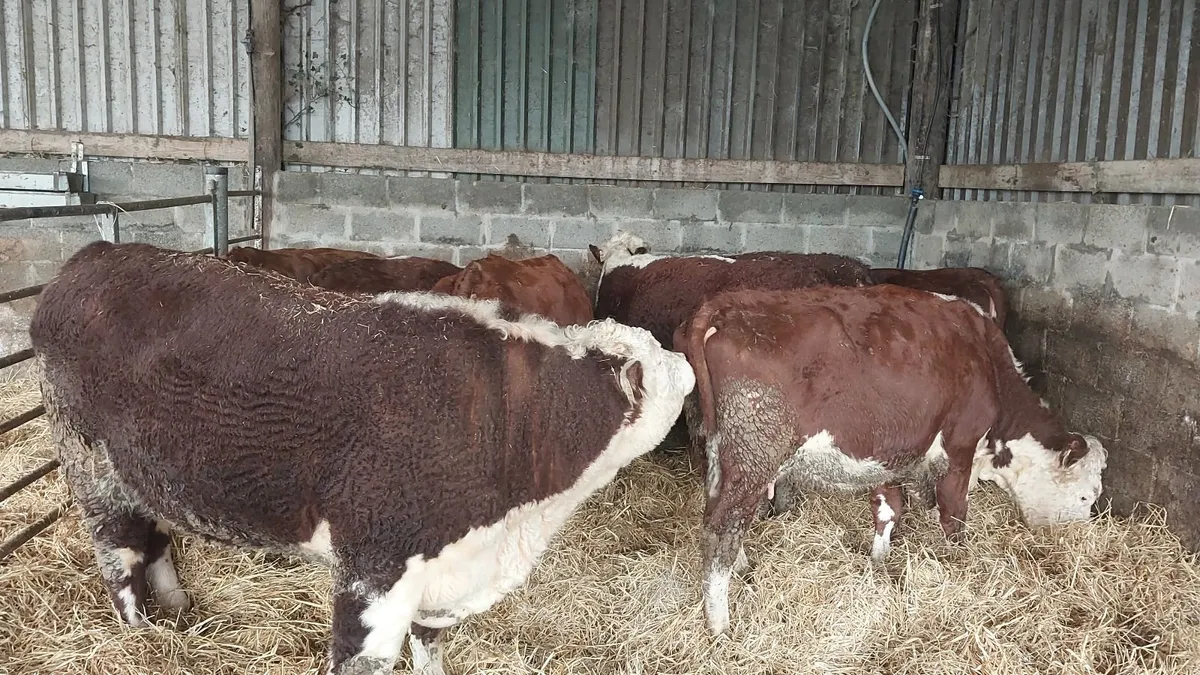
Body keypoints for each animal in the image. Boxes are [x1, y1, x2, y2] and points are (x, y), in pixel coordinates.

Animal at [673, 285, 1108, 636]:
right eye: (1087, 496)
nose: (1078, 538)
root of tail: (724, 306)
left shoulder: (889, 450)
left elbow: (889, 507)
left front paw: (879, 560)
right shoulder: (959, 446)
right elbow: (953, 512)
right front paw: (957, 560)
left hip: (717, 451)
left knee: (718, 511)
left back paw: (741, 568)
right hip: (755, 452)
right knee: (721, 529)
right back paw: (720, 624)